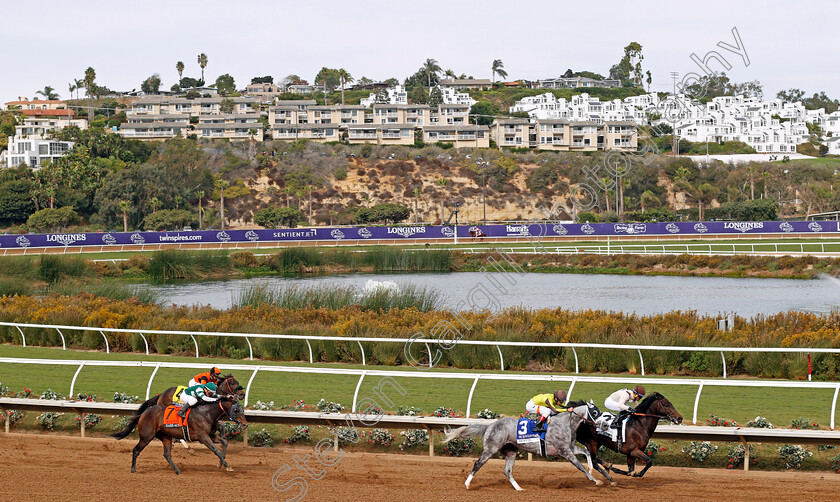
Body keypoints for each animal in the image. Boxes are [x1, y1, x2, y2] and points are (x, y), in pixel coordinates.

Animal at [110, 396, 246, 474]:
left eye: (242, 410)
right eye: (236, 409)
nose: (245, 424)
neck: (206, 413)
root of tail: (143, 414)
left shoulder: (210, 435)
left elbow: (225, 442)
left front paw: (221, 463)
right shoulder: (203, 437)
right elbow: (215, 450)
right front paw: (227, 466)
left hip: (165, 437)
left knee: (167, 454)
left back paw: (177, 471)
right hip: (146, 436)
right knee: (136, 450)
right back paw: (133, 469)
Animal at [442, 404, 612, 490]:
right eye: (595, 412)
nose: (605, 425)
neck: (565, 423)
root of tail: (490, 425)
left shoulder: (569, 447)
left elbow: (586, 452)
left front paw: (592, 468)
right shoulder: (564, 451)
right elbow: (580, 466)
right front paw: (596, 481)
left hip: (511, 451)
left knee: (507, 471)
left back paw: (518, 488)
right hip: (491, 448)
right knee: (478, 463)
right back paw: (467, 484)